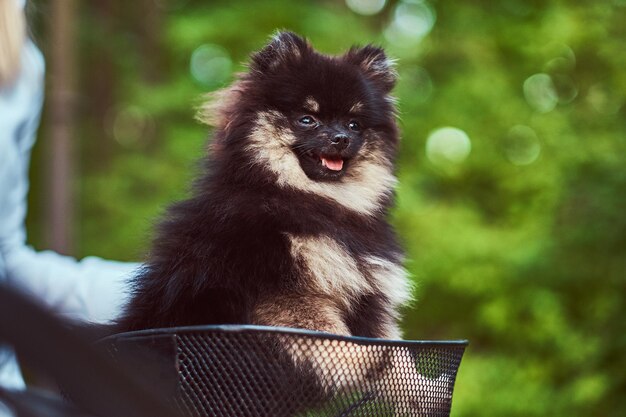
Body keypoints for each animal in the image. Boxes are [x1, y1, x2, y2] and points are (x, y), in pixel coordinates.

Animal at [117, 31, 422, 412]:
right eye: (307, 118)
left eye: (355, 124)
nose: (341, 138)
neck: (310, 198)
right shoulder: (287, 292)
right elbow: (331, 335)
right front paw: (363, 362)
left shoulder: (369, 294)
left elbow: (398, 353)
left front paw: (420, 391)